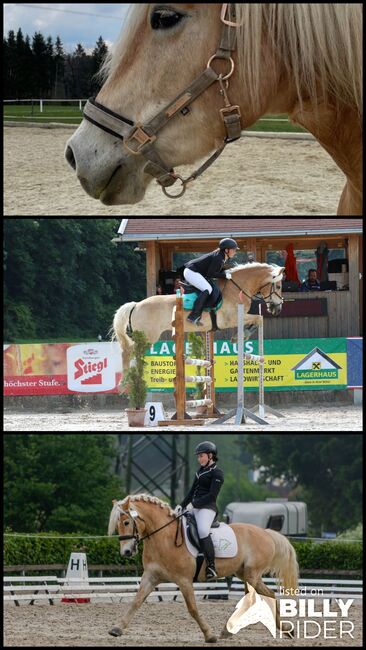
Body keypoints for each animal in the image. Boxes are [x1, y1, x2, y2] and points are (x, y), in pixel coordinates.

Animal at [106, 494, 298, 640]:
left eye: (126, 522)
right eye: (117, 525)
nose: (126, 552)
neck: (163, 537)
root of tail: (266, 533)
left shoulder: (184, 580)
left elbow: (192, 608)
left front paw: (209, 635)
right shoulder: (151, 576)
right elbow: (137, 601)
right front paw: (117, 628)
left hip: (252, 574)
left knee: (260, 596)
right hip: (244, 574)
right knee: (264, 595)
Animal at [113, 262, 284, 372]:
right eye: (279, 286)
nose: (278, 308)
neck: (236, 288)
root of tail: (136, 305)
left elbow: (257, 319)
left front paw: (241, 335)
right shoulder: (232, 318)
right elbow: (258, 318)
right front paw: (241, 336)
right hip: (148, 337)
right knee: (127, 352)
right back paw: (127, 383)